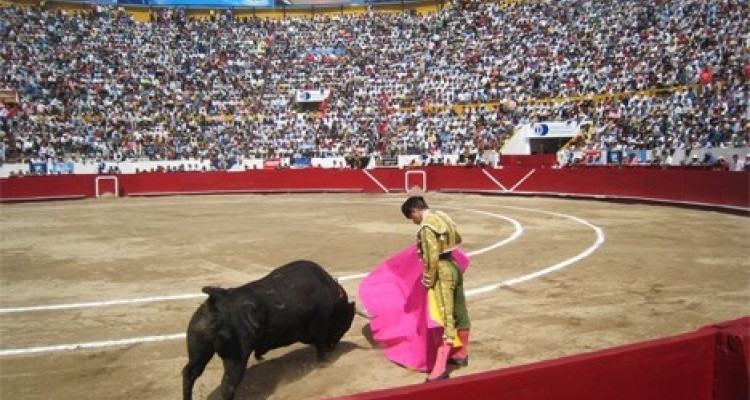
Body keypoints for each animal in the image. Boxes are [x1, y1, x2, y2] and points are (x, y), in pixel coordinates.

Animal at [183, 260, 358, 398]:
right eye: (345, 320)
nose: (332, 346)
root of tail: (217, 300)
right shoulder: (320, 325)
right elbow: (320, 347)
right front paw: (324, 363)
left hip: (200, 352)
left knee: (189, 373)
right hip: (236, 357)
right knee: (228, 386)